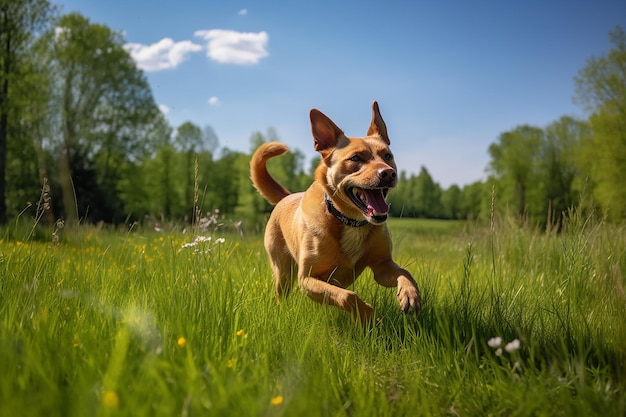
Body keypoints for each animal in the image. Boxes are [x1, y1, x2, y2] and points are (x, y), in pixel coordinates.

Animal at [249, 101, 420, 322]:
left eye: (388, 156)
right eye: (355, 158)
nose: (389, 173)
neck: (350, 220)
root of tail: (287, 196)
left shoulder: (382, 266)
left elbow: (405, 272)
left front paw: (410, 294)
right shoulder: (307, 279)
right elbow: (347, 296)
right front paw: (367, 313)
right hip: (283, 272)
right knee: (282, 292)